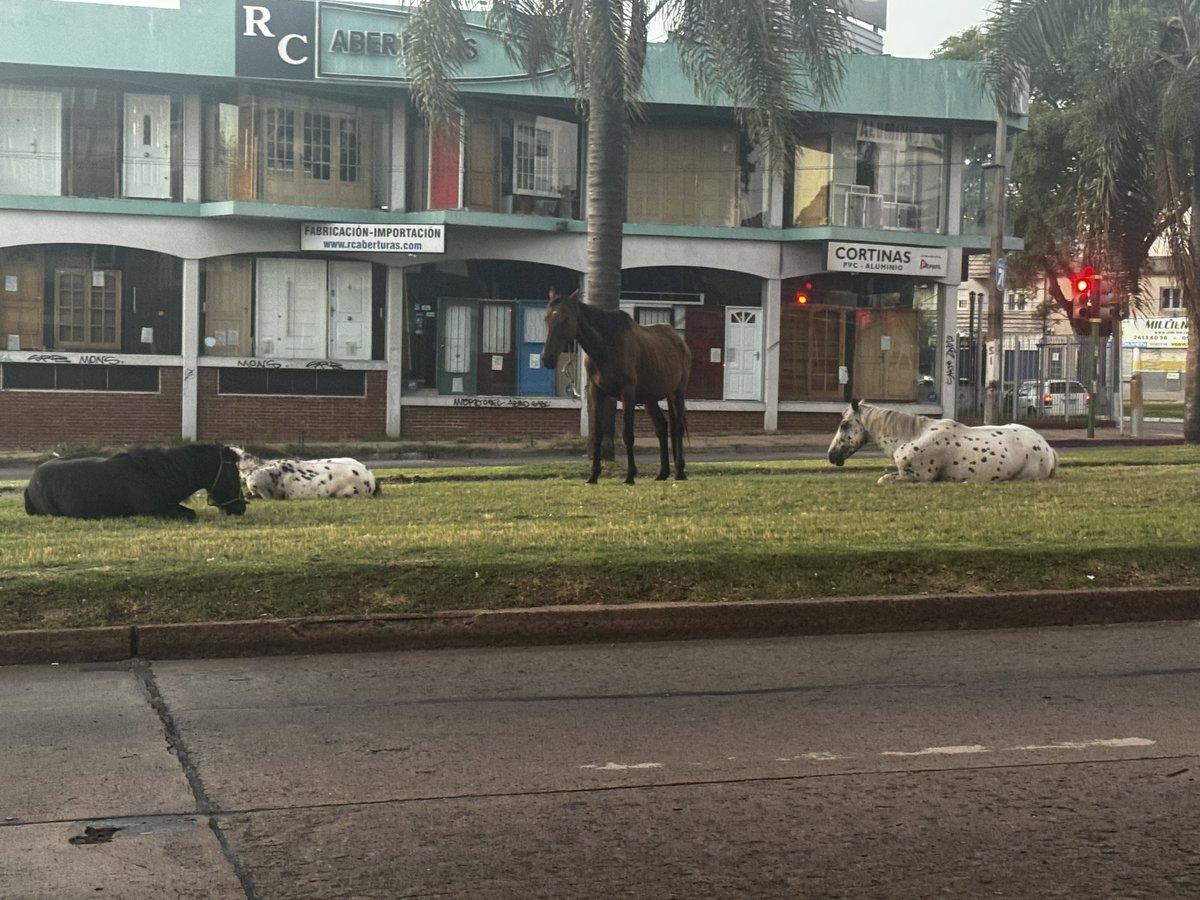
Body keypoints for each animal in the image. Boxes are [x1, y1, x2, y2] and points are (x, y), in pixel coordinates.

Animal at [24, 444, 246, 520]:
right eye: (233, 475)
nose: (241, 508)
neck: (157, 475)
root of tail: (29, 484)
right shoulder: (157, 512)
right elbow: (191, 514)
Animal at [542, 289, 691, 487]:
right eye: (546, 318)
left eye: (565, 319)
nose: (547, 358)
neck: (605, 346)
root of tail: (678, 341)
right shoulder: (596, 392)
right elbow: (597, 434)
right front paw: (593, 475)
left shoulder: (627, 394)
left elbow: (628, 434)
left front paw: (630, 475)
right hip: (650, 399)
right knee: (661, 427)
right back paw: (663, 473)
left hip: (676, 394)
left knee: (678, 428)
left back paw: (680, 471)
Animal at [830, 400, 1056, 487]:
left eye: (843, 425)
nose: (831, 455)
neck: (915, 436)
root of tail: (1048, 448)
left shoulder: (917, 477)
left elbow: (882, 479)